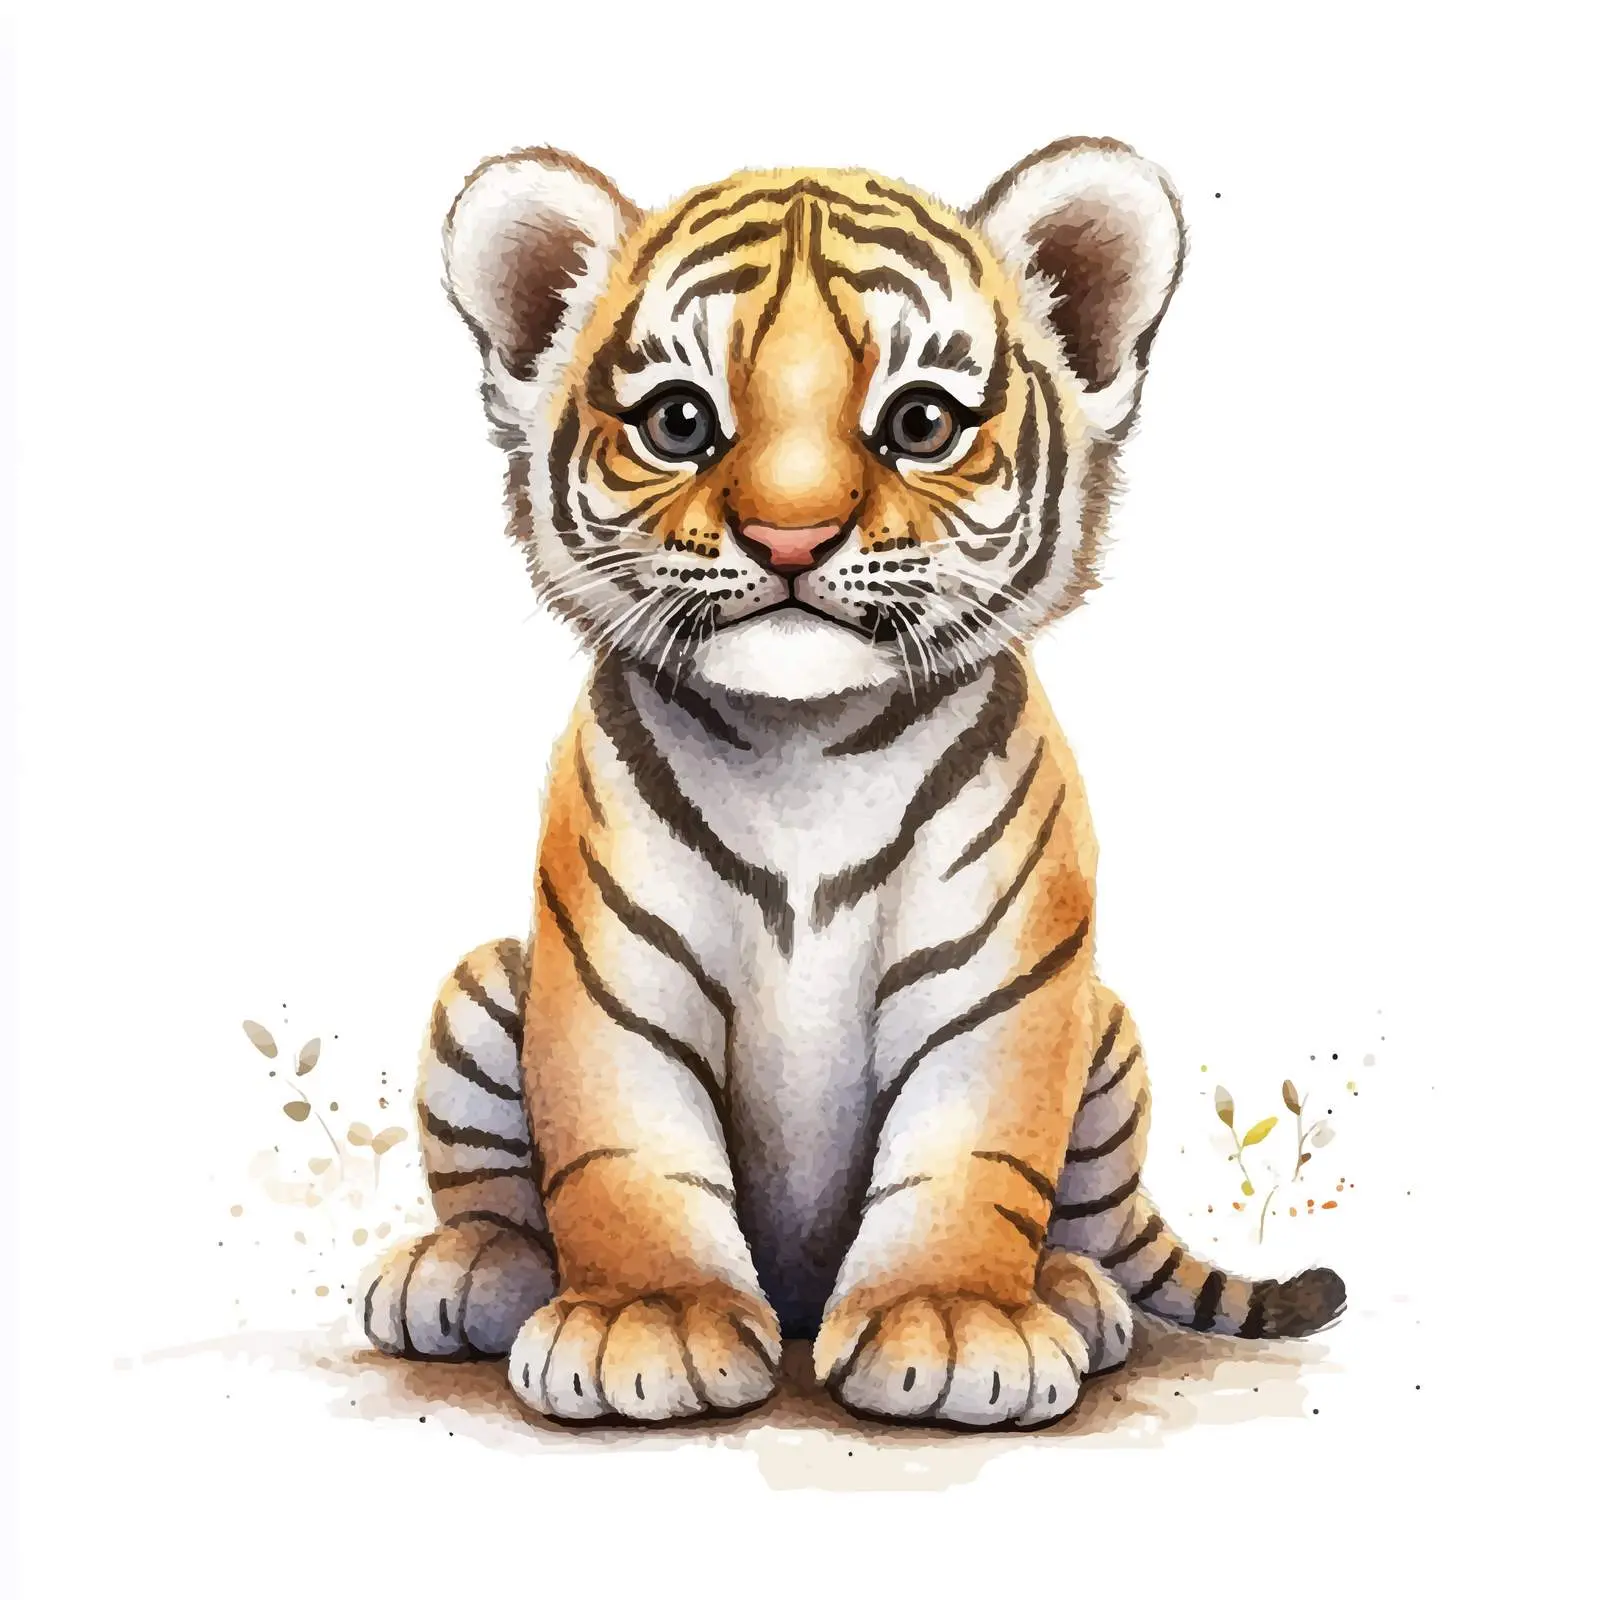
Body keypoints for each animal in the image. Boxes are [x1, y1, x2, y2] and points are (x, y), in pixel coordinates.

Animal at [358, 137, 1345, 1429]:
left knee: (1082, 1220)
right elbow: (621, 1153)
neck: (804, 751)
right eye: (679, 420)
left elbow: (972, 1158)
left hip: (1106, 1032)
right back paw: (470, 1267)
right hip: (484, 986)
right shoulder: (617, 978)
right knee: (494, 1192)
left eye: (918, 422)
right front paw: (646, 1317)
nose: (791, 537)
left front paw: (954, 1318)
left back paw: (1069, 1292)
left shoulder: (1000, 984)